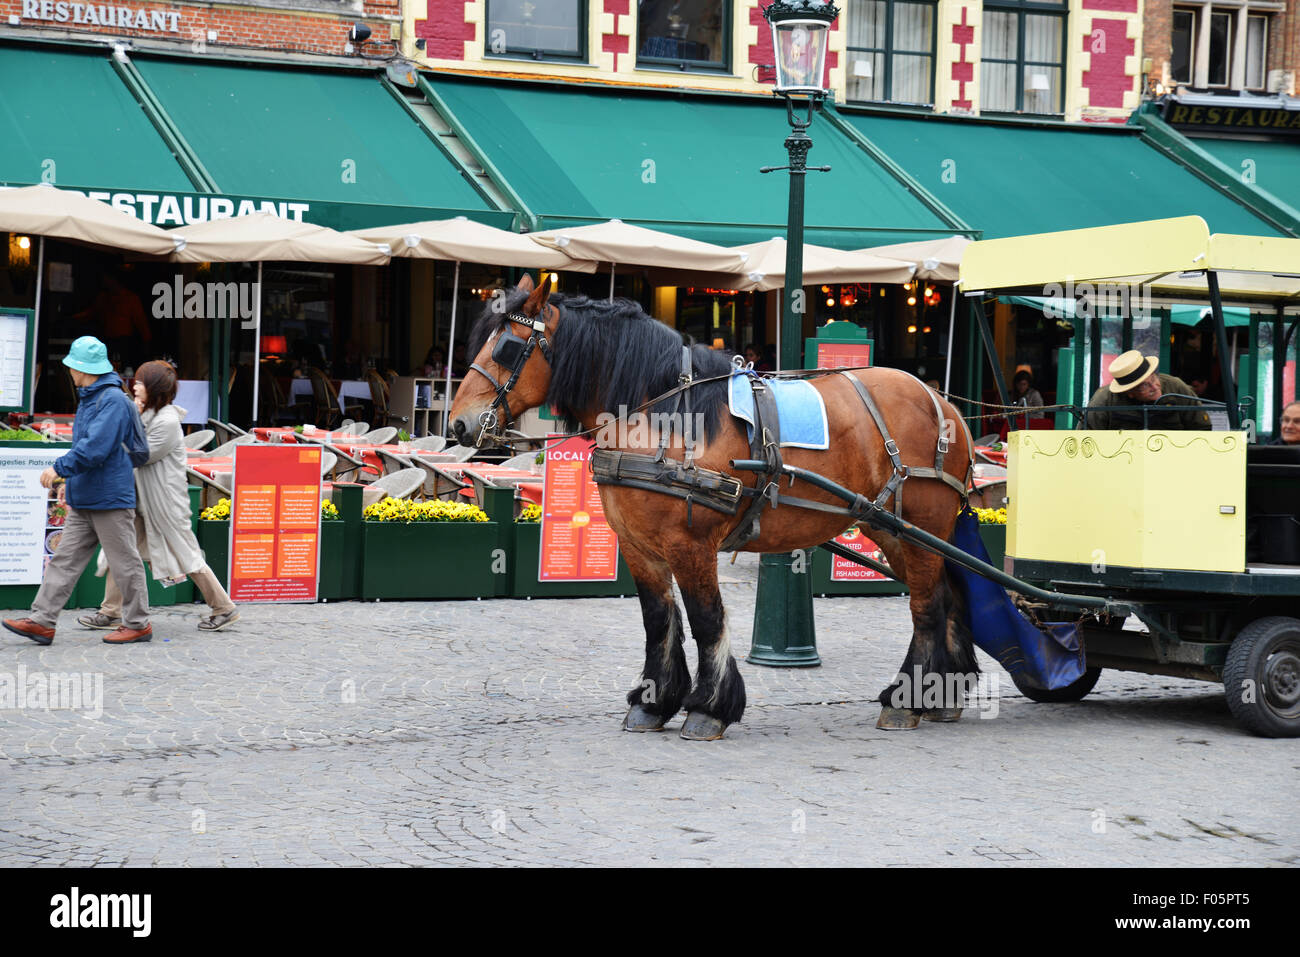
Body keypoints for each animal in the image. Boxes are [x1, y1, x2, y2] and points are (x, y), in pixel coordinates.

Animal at [449, 274, 977, 738]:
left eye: (506, 347)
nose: (458, 423)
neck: (664, 416)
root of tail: (943, 403)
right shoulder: (639, 548)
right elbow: (659, 621)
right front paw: (654, 702)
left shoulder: (691, 545)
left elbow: (706, 620)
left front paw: (709, 708)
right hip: (892, 531)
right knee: (944, 596)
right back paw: (940, 695)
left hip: (921, 527)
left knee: (926, 606)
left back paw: (906, 701)